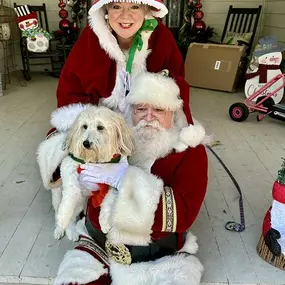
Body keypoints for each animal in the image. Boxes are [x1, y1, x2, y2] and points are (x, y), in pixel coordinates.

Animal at [36, 104, 133, 240]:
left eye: (100, 127)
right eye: (84, 126)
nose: (86, 143)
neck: (95, 161)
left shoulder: (112, 183)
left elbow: (108, 201)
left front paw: (104, 222)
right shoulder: (70, 174)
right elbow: (68, 201)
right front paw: (62, 219)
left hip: (81, 201)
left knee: (73, 217)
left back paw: (71, 230)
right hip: (58, 193)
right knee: (60, 210)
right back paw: (60, 228)